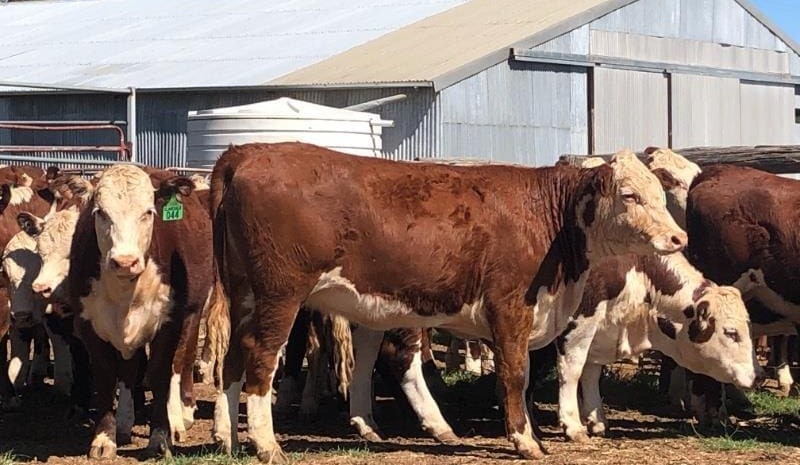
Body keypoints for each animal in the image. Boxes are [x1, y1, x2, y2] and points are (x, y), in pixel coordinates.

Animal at [209, 141, 686, 461]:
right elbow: (515, 375)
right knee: (261, 359)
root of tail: (250, 151)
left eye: (660, 195)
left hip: (243, 293)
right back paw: (267, 445)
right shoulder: (509, 307)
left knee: (232, 360)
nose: (679, 238)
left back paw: (228, 438)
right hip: (279, 294)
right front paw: (526, 441)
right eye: (629, 195)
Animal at [555, 251, 759, 442]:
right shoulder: (579, 322)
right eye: (731, 332)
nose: (759, 375)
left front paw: (597, 421)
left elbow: (591, 372)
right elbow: (573, 371)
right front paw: (573, 426)